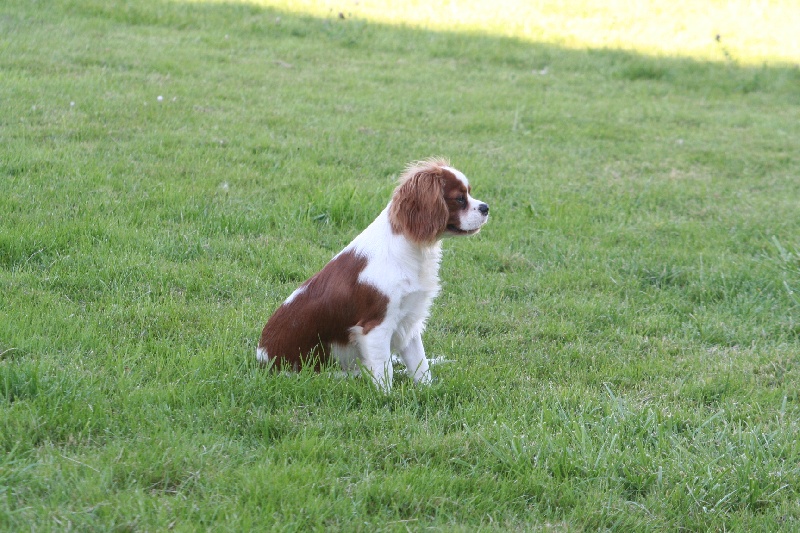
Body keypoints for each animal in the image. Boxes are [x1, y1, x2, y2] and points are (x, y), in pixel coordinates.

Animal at [260, 158, 490, 390]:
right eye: (460, 199)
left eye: (469, 193)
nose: (486, 207)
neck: (411, 249)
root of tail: (262, 359)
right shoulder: (375, 327)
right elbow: (384, 370)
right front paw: (388, 396)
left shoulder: (408, 322)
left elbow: (420, 363)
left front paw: (427, 391)